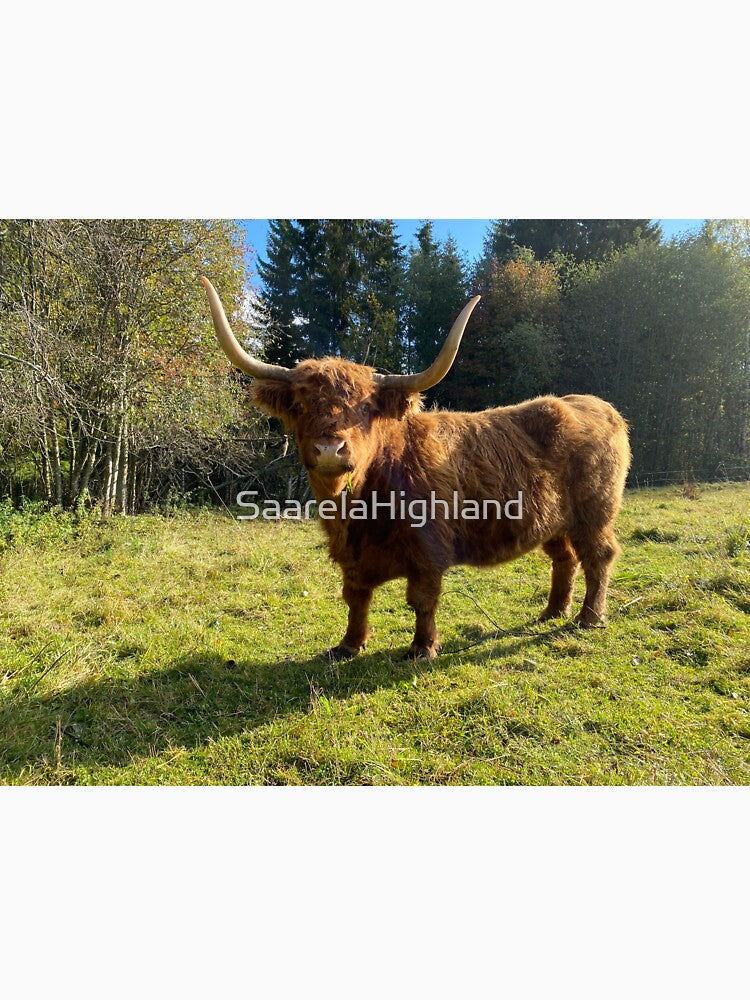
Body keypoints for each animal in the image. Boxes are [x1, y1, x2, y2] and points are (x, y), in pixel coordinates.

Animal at [201, 276, 631, 660]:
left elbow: (422, 600)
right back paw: (552, 612)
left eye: (366, 407)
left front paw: (422, 648)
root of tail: (597, 405)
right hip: (552, 519)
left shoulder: (428, 550)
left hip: (594, 512)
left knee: (599, 555)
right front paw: (348, 646)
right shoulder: (351, 557)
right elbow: (355, 598)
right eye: (301, 404)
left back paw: (588, 618)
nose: (329, 448)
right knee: (565, 558)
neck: (360, 509)